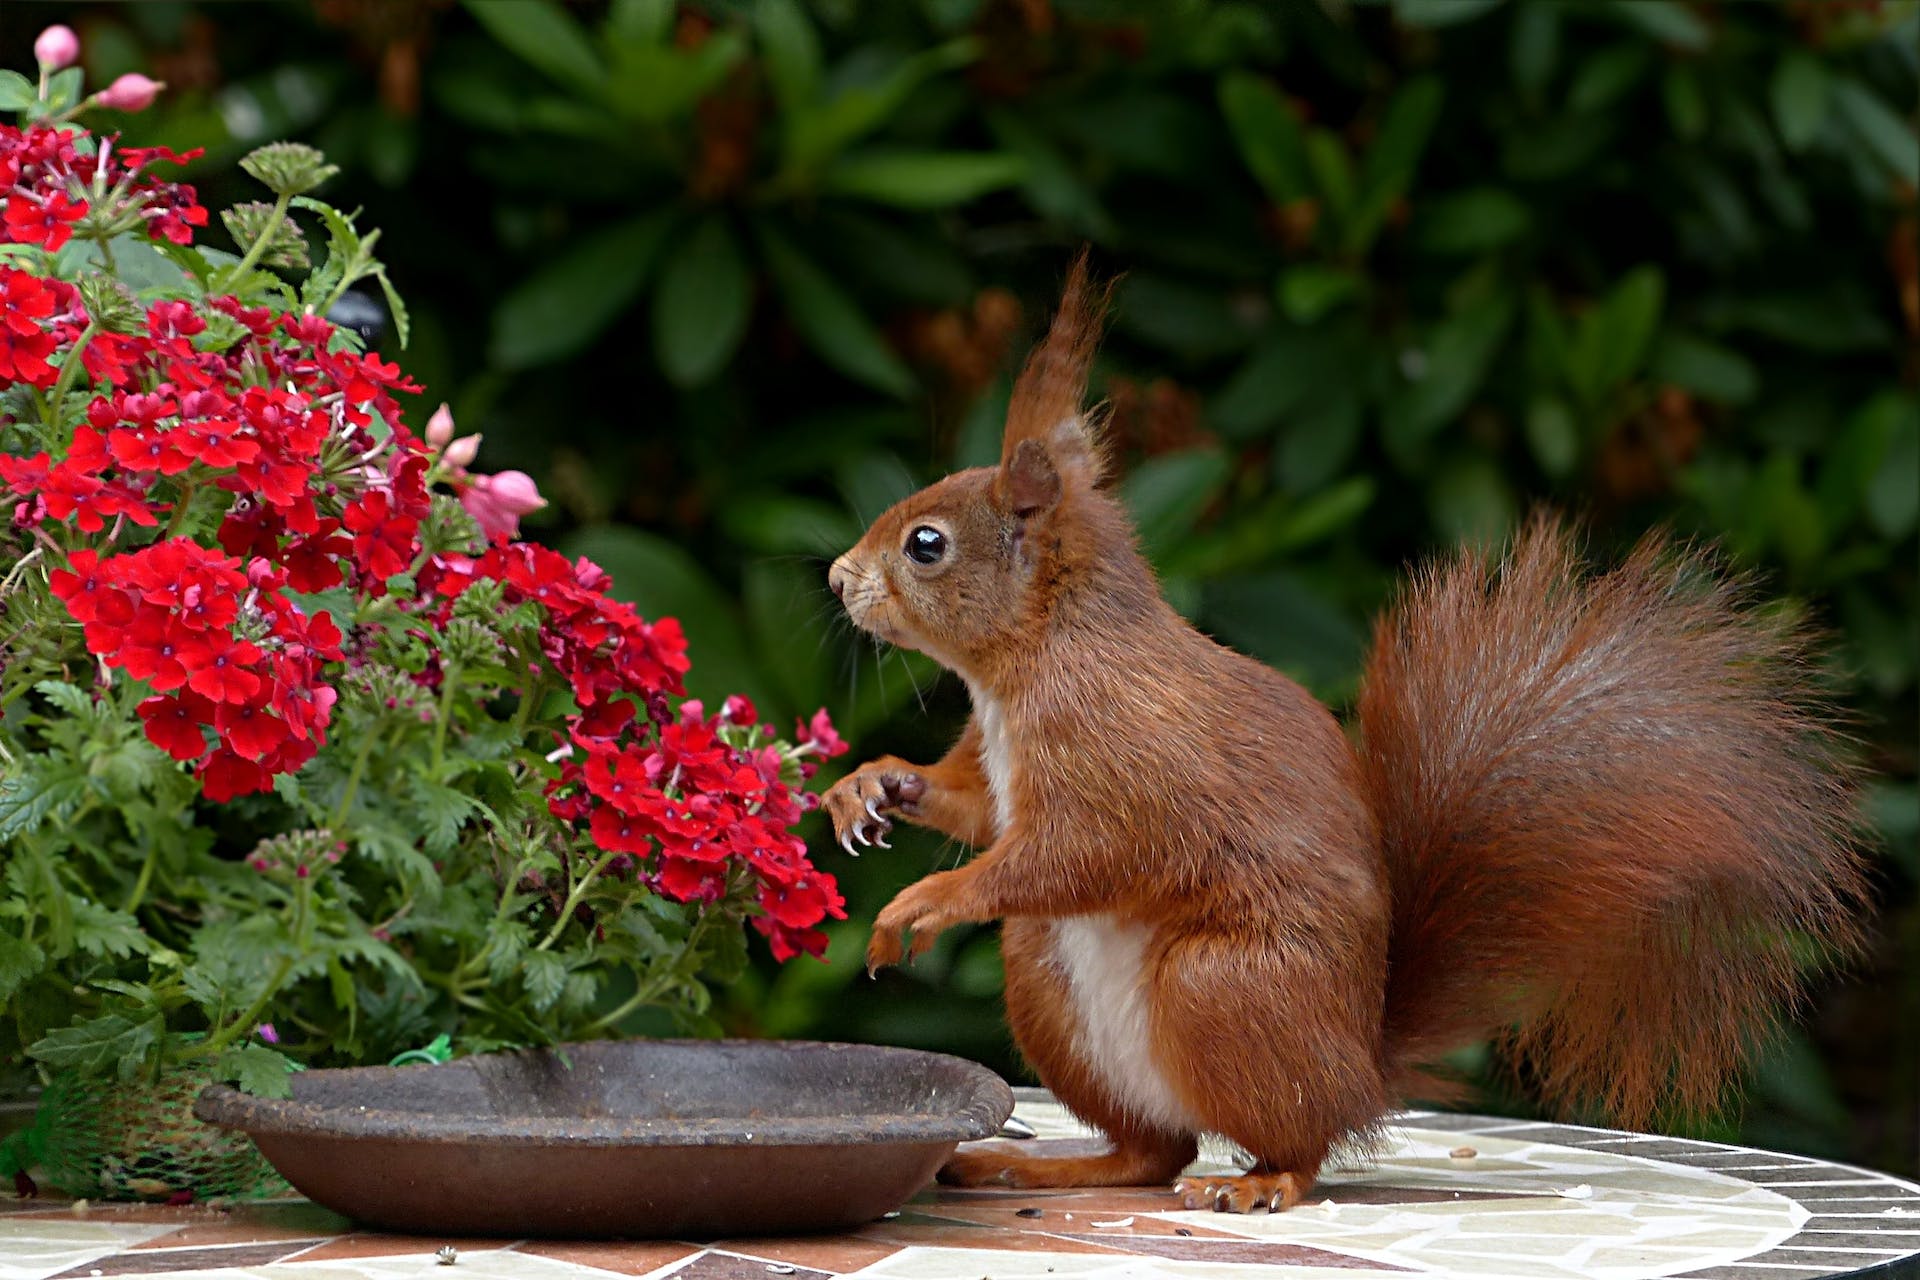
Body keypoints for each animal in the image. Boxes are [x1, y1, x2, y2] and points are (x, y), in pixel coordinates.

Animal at [822, 255, 1867, 1214]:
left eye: (926, 544)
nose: (836, 578)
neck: (1032, 663)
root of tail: (1362, 1068)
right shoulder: (999, 765)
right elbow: (975, 808)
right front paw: (871, 785)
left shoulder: (1124, 752)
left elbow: (1081, 851)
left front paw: (926, 900)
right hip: (1047, 981)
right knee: (1151, 1151)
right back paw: (1040, 1164)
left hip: (1223, 987)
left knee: (1292, 1142)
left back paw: (1258, 1180)